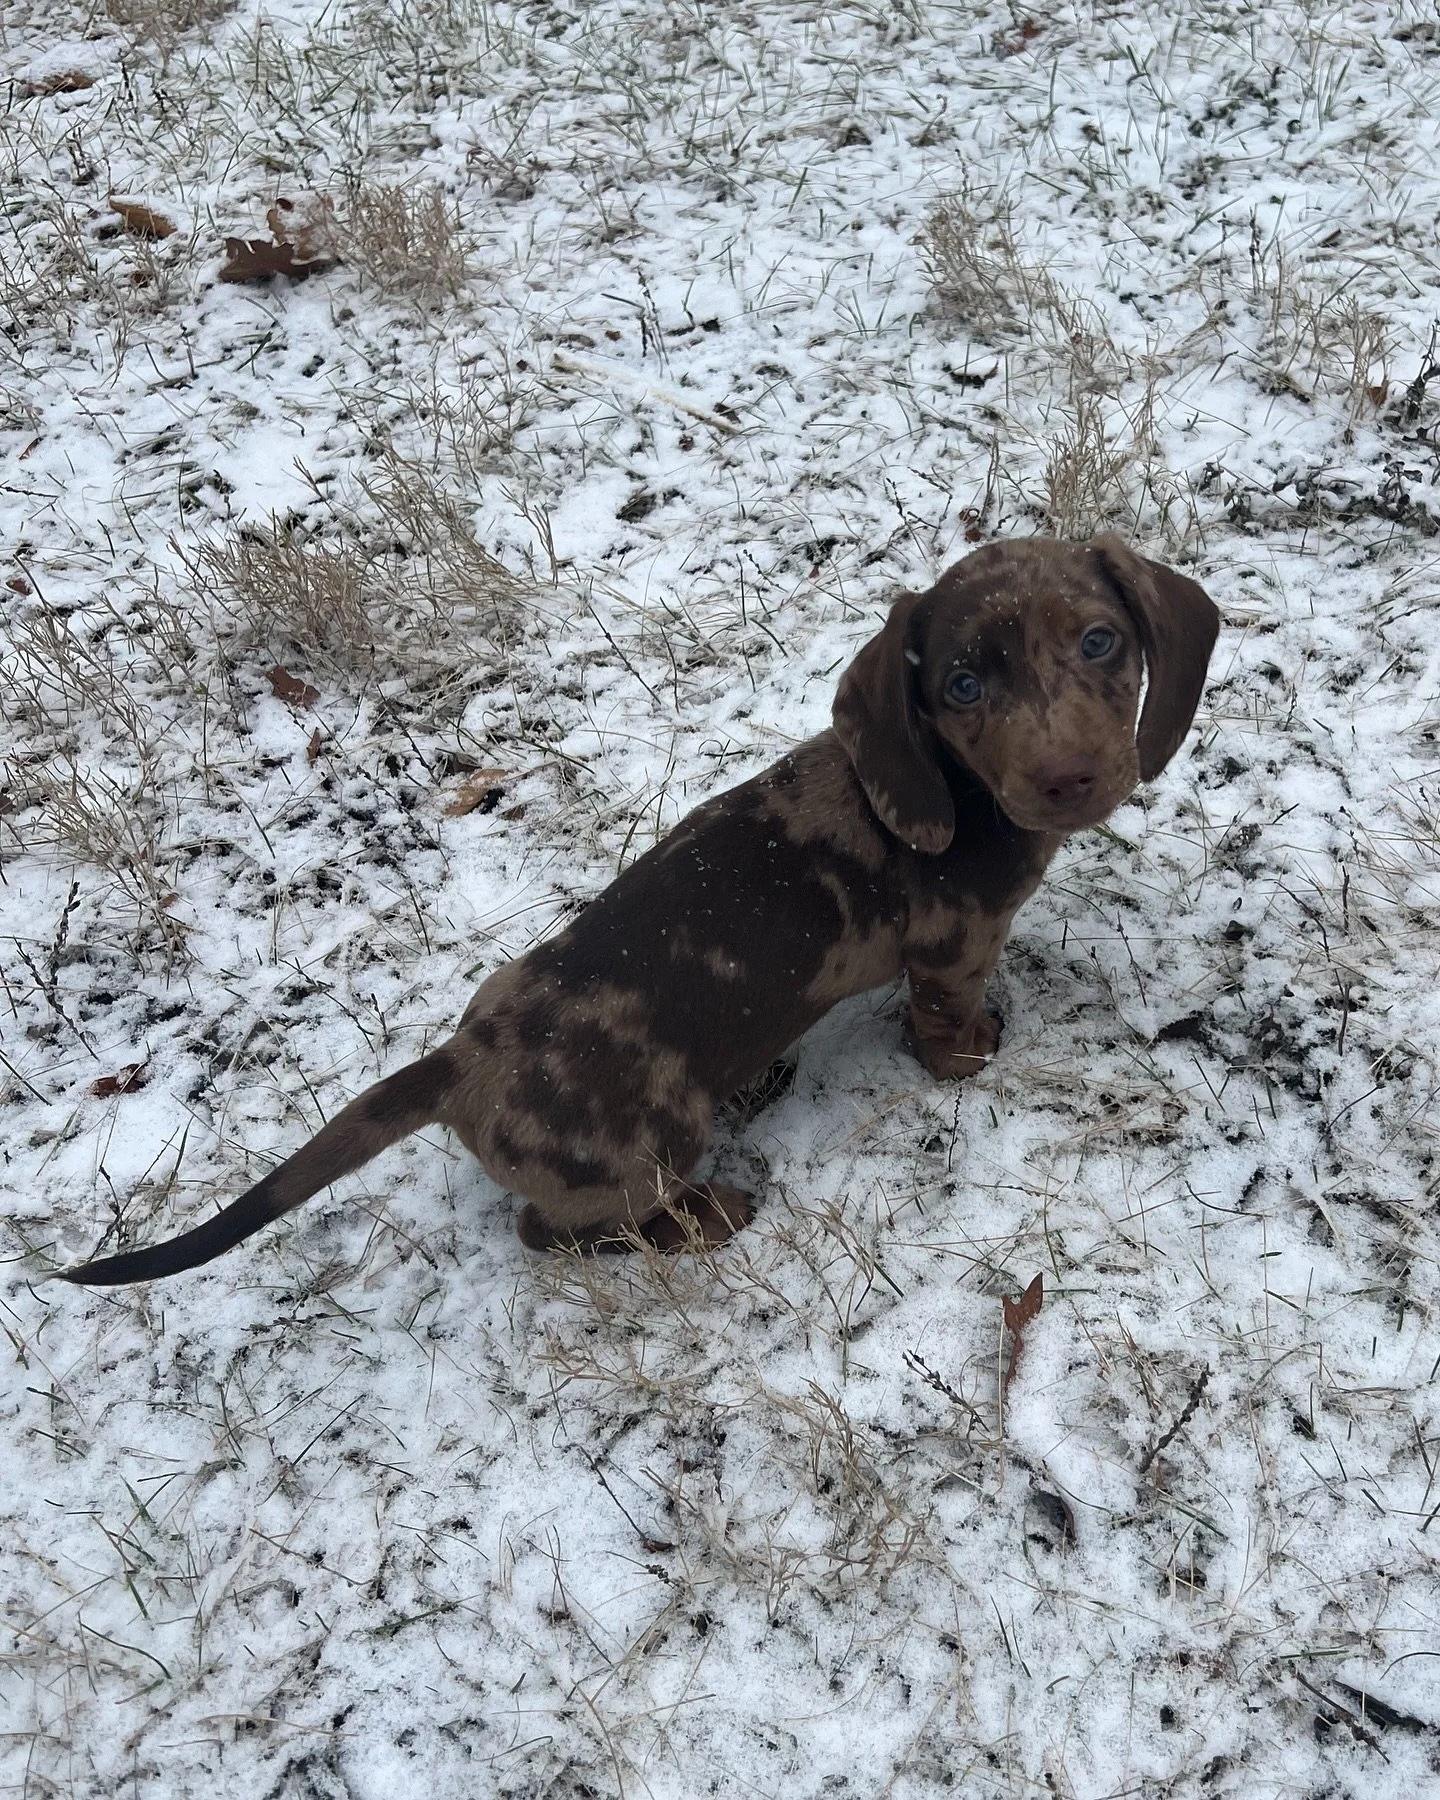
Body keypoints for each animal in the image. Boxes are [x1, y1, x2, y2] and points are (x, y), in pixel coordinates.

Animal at [62, 534, 1218, 1285]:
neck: (953, 794)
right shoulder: (953, 948)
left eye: (1101, 642)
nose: (1069, 779)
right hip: (652, 1145)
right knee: (551, 1234)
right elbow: (948, 1023)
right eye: (964, 688)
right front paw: (972, 1054)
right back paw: (697, 1221)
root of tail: (457, 1063)